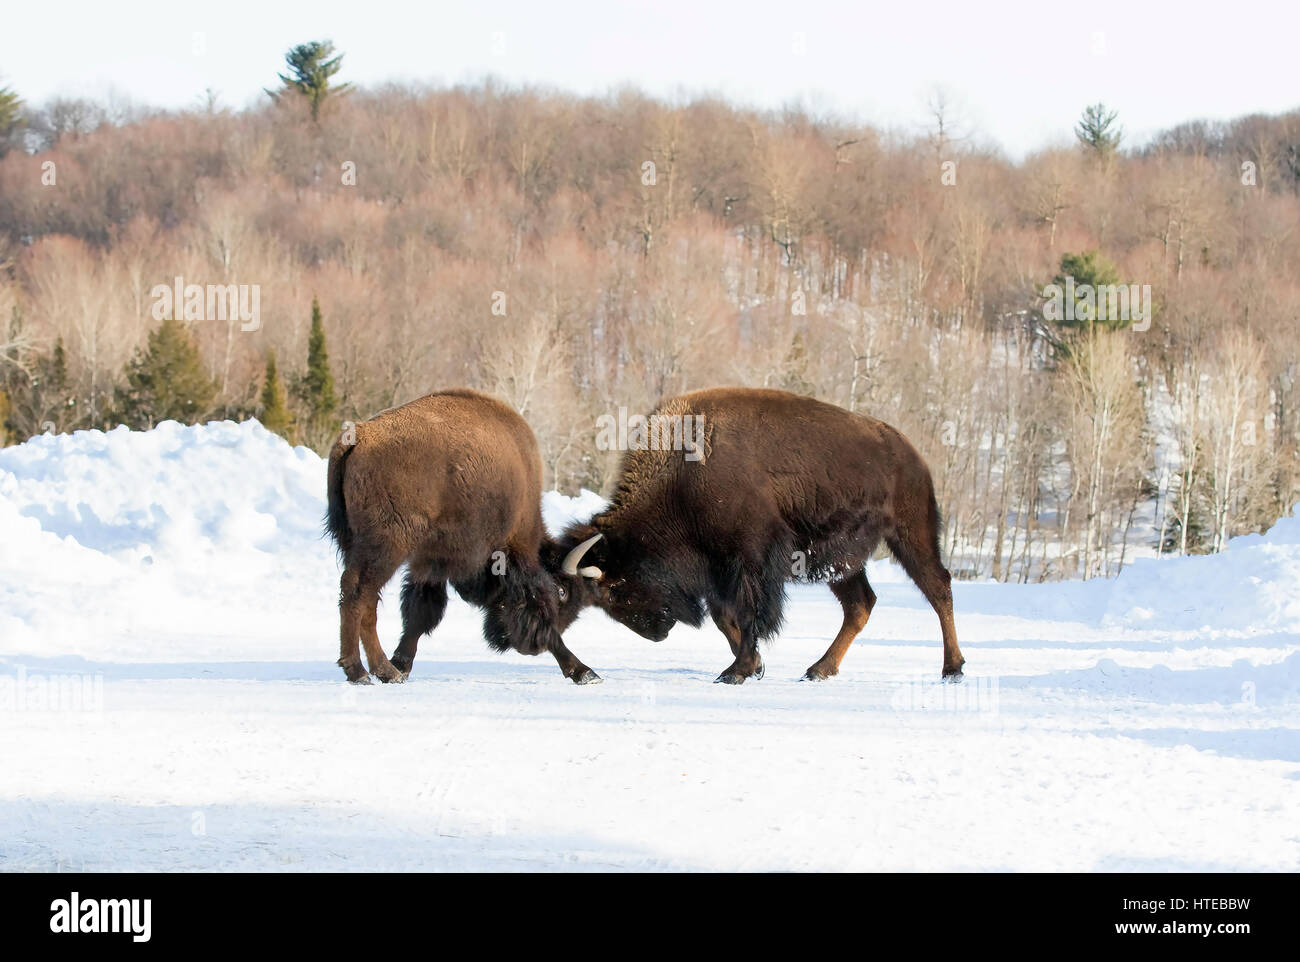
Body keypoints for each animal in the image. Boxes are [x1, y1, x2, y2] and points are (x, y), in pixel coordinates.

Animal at [325, 390, 598, 686]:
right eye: (562, 592)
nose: (529, 649)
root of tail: (361, 436)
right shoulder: (514, 552)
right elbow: (540, 614)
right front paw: (584, 671)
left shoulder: (429, 564)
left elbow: (421, 614)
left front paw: (403, 663)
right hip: (387, 547)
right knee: (358, 593)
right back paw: (362, 671)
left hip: (355, 543)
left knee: (365, 599)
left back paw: (385, 670)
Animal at [548, 390, 967, 686]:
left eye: (614, 590)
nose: (657, 633)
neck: (682, 474)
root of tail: (912, 454)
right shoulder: (717, 570)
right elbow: (724, 617)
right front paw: (752, 665)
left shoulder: (751, 560)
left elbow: (752, 613)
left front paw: (737, 671)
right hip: (841, 561)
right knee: (860, 604)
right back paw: (818, 669)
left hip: (911, 534)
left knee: (938, 587)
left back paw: (953, 668)